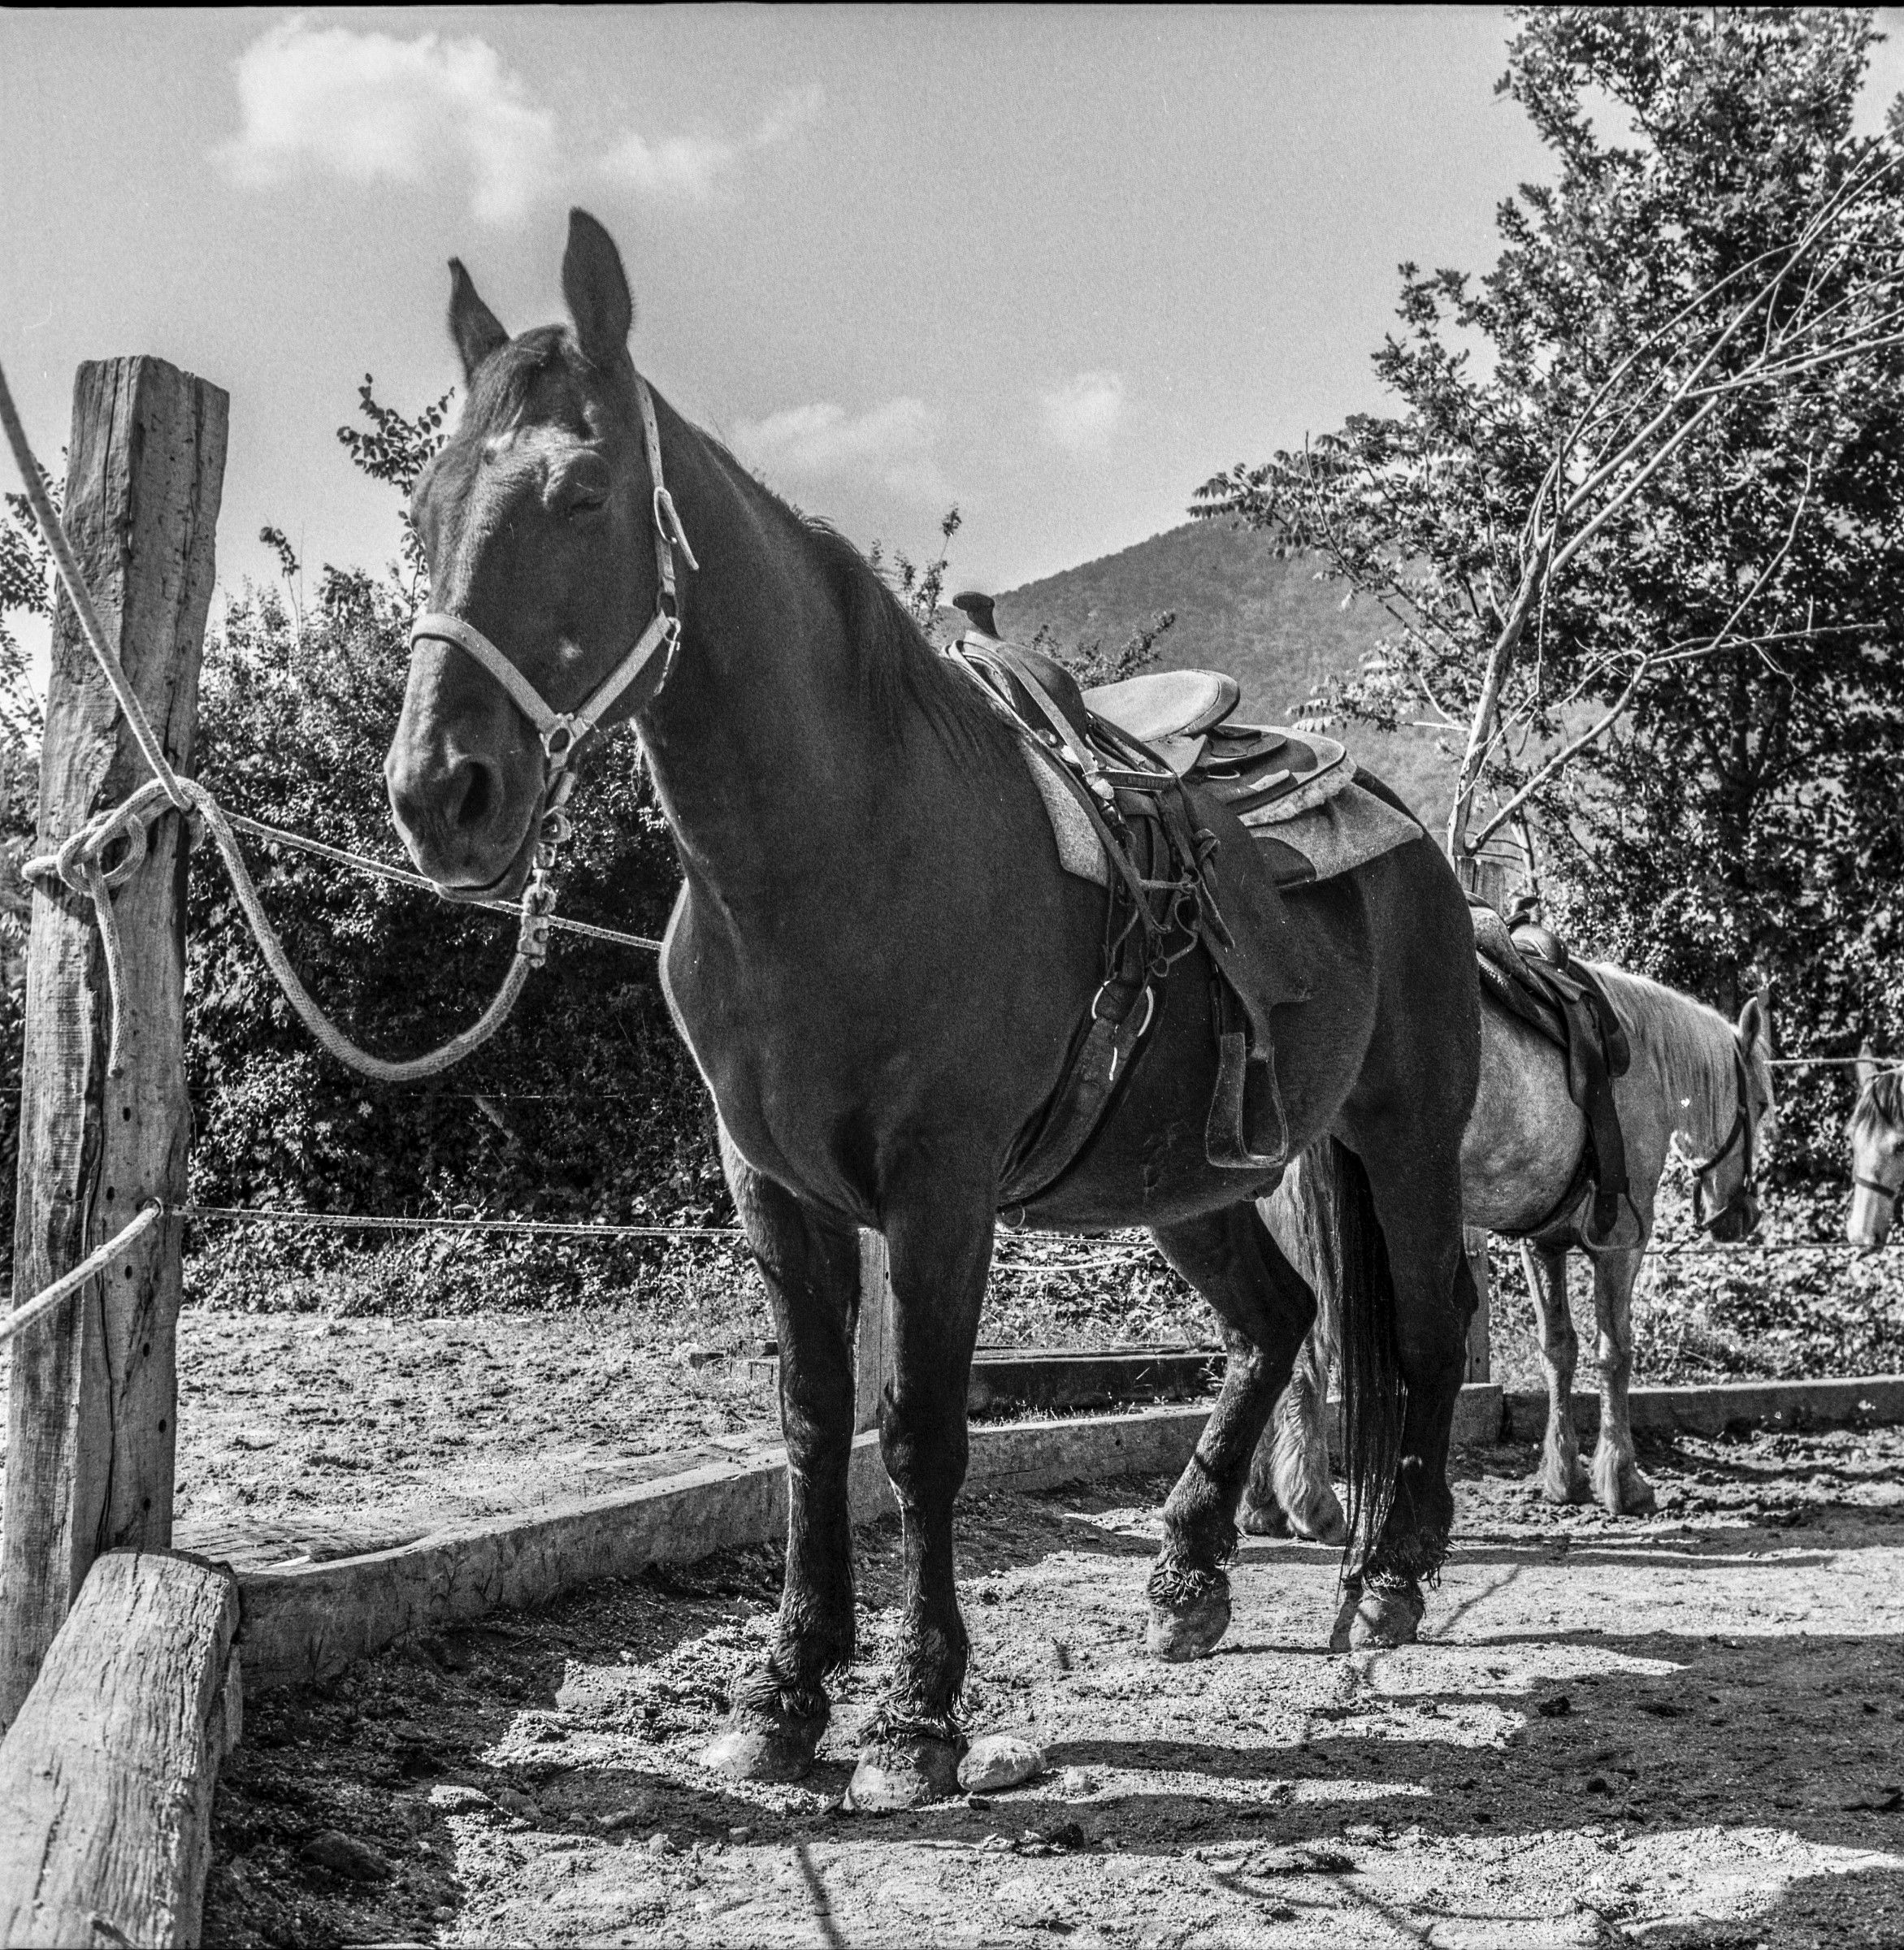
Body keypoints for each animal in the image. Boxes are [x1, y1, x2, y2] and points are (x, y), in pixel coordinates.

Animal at [382, 209, 1482, 1811]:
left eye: (581, 494)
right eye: (425, 506)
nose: (439, 794)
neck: (836, 852)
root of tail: (1394, 825)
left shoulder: (939, 1189)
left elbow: (917, 1436)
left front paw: (916, 1715)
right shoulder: (774, 1186)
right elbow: (807, 1426)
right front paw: (783, 1694)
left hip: (1402, 1137)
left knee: (1428, 1324)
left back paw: (1389, 1576)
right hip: (1186, 1180)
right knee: (1275, 1322)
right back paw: (1186, 1573)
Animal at [1244, 968, 1776, 1531]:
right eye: (1762, 1103)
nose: (1742, 1215)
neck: (1641, 1054)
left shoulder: (1543, 1245)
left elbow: (1558, 1349)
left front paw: (1564, 1478)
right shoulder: (1621, 1245)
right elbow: (1615, 1353)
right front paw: (1623, 1482)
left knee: (1271, 1333)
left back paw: (1262, 1501)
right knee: (1310, 1349)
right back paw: (1314, 1502)